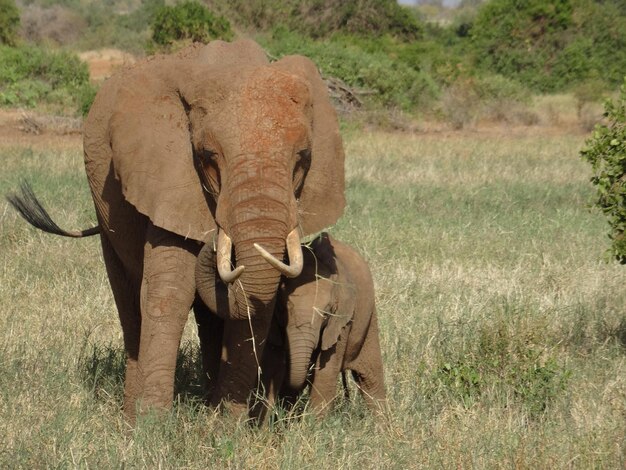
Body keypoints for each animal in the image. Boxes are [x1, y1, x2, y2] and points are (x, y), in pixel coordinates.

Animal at [7, 40, 344, 420]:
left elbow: (257, 302)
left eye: (302, 158)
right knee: (129, 296)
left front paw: (224, 425)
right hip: (104, 205)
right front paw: (151, 425)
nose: (213, 237)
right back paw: (130, 414)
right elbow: (170, 290)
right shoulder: (167, 177)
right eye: (208, 156)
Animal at [264, 232, 386, 414]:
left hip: (369, 318)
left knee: (371, 380)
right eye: (281, 310)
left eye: (327, 314)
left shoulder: (341, 320)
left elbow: (325, 374)